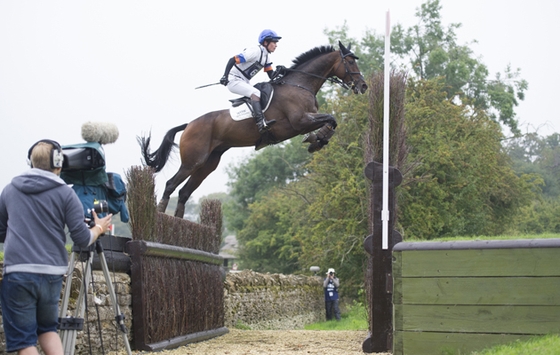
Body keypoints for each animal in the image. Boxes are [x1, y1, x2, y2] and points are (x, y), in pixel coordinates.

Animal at [139, 40, 368, 218]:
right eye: (350, 61)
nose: (363, 86)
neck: (300, 85)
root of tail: (189, 124)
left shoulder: (304, 123)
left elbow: (332, 121)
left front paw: (318, 140)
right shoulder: (300, 121)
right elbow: (331, 118)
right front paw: (318, 140)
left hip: (208, 163)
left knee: (185, 192)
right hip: (193, 160)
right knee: (171, 185)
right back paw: (161, 213)